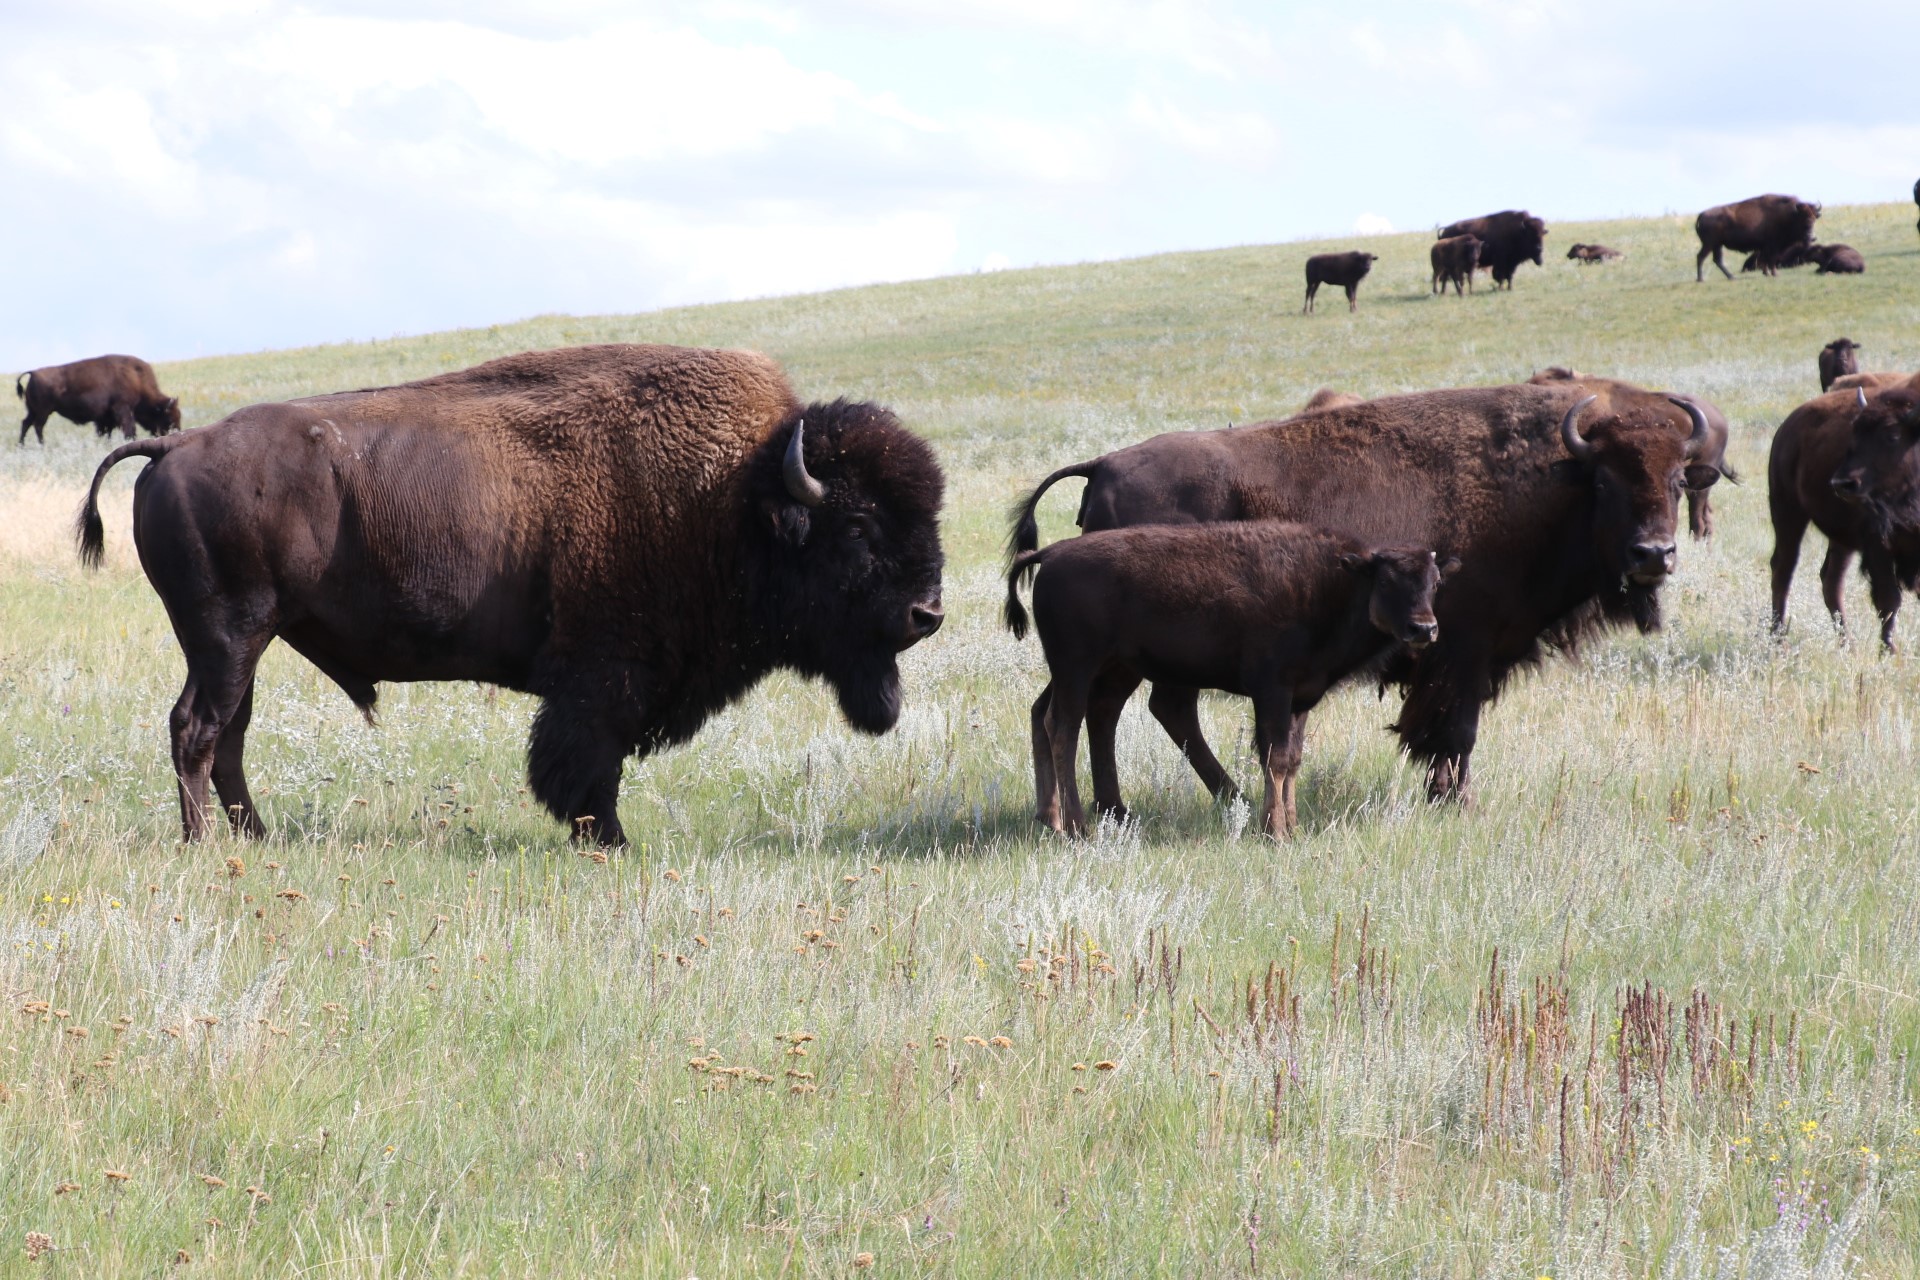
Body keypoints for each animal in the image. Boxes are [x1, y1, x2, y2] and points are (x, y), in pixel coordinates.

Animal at [18, 355, 180, 445]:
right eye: (169, 419)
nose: (176, 434)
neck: (137, 378)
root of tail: (33, 373)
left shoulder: (105, 417)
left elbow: (105, 432)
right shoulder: (122, 409)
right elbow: (129, 429)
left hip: (33, 411)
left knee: (26, 423)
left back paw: (22, 446)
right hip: (43, 411)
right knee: (38, 426)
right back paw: (42, 445)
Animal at [74, 347, 944, 852]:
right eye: (859, 527)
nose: (927, 613)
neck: (732, 496)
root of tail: (177, 446)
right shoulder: (602, 678)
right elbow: (587, 763)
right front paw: (610, 841)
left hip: (243, 645)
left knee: (229, 736)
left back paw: (258, 839)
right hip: (227, 636)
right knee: (197, 730)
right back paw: (204, 847)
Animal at [1006, 376, 1728, 805]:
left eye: (1677, 480)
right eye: (1605, 481)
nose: (1653, 555)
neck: (1549, 479)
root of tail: (1104, 465)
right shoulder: (1465, 650)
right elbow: (1457, 730)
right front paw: (1454, 801)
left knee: (1124, 710)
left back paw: (1133, 808)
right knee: (1134, 709)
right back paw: (1197, 802)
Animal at [1006, 521, 1443, 840]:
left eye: (1435, 582)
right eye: (1385, 581)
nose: (1424, 628)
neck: (1333, 583)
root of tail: (1051, 553)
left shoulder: (1300, 699)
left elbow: (1292, 759)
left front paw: (1292, 826)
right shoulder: (1272, 692)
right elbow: (1275, 758)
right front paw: (1274, 832)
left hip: (1096, 669)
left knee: (1046, 714)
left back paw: (1049, 817)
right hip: (1077, 667)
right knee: (1063, 727)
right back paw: (1075, 827)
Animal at [1766, 376, 1920, 644]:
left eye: (1893, 435)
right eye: (1854, 433)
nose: (1842, 483)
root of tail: (1787, 426)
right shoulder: (1877, 544)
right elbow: (1889, 601)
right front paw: (1888, 650)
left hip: (1841, 539)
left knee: (1831, 580)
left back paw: (1846, 643)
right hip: (1787, 511)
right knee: (1784, 569)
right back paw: (1777, 638)